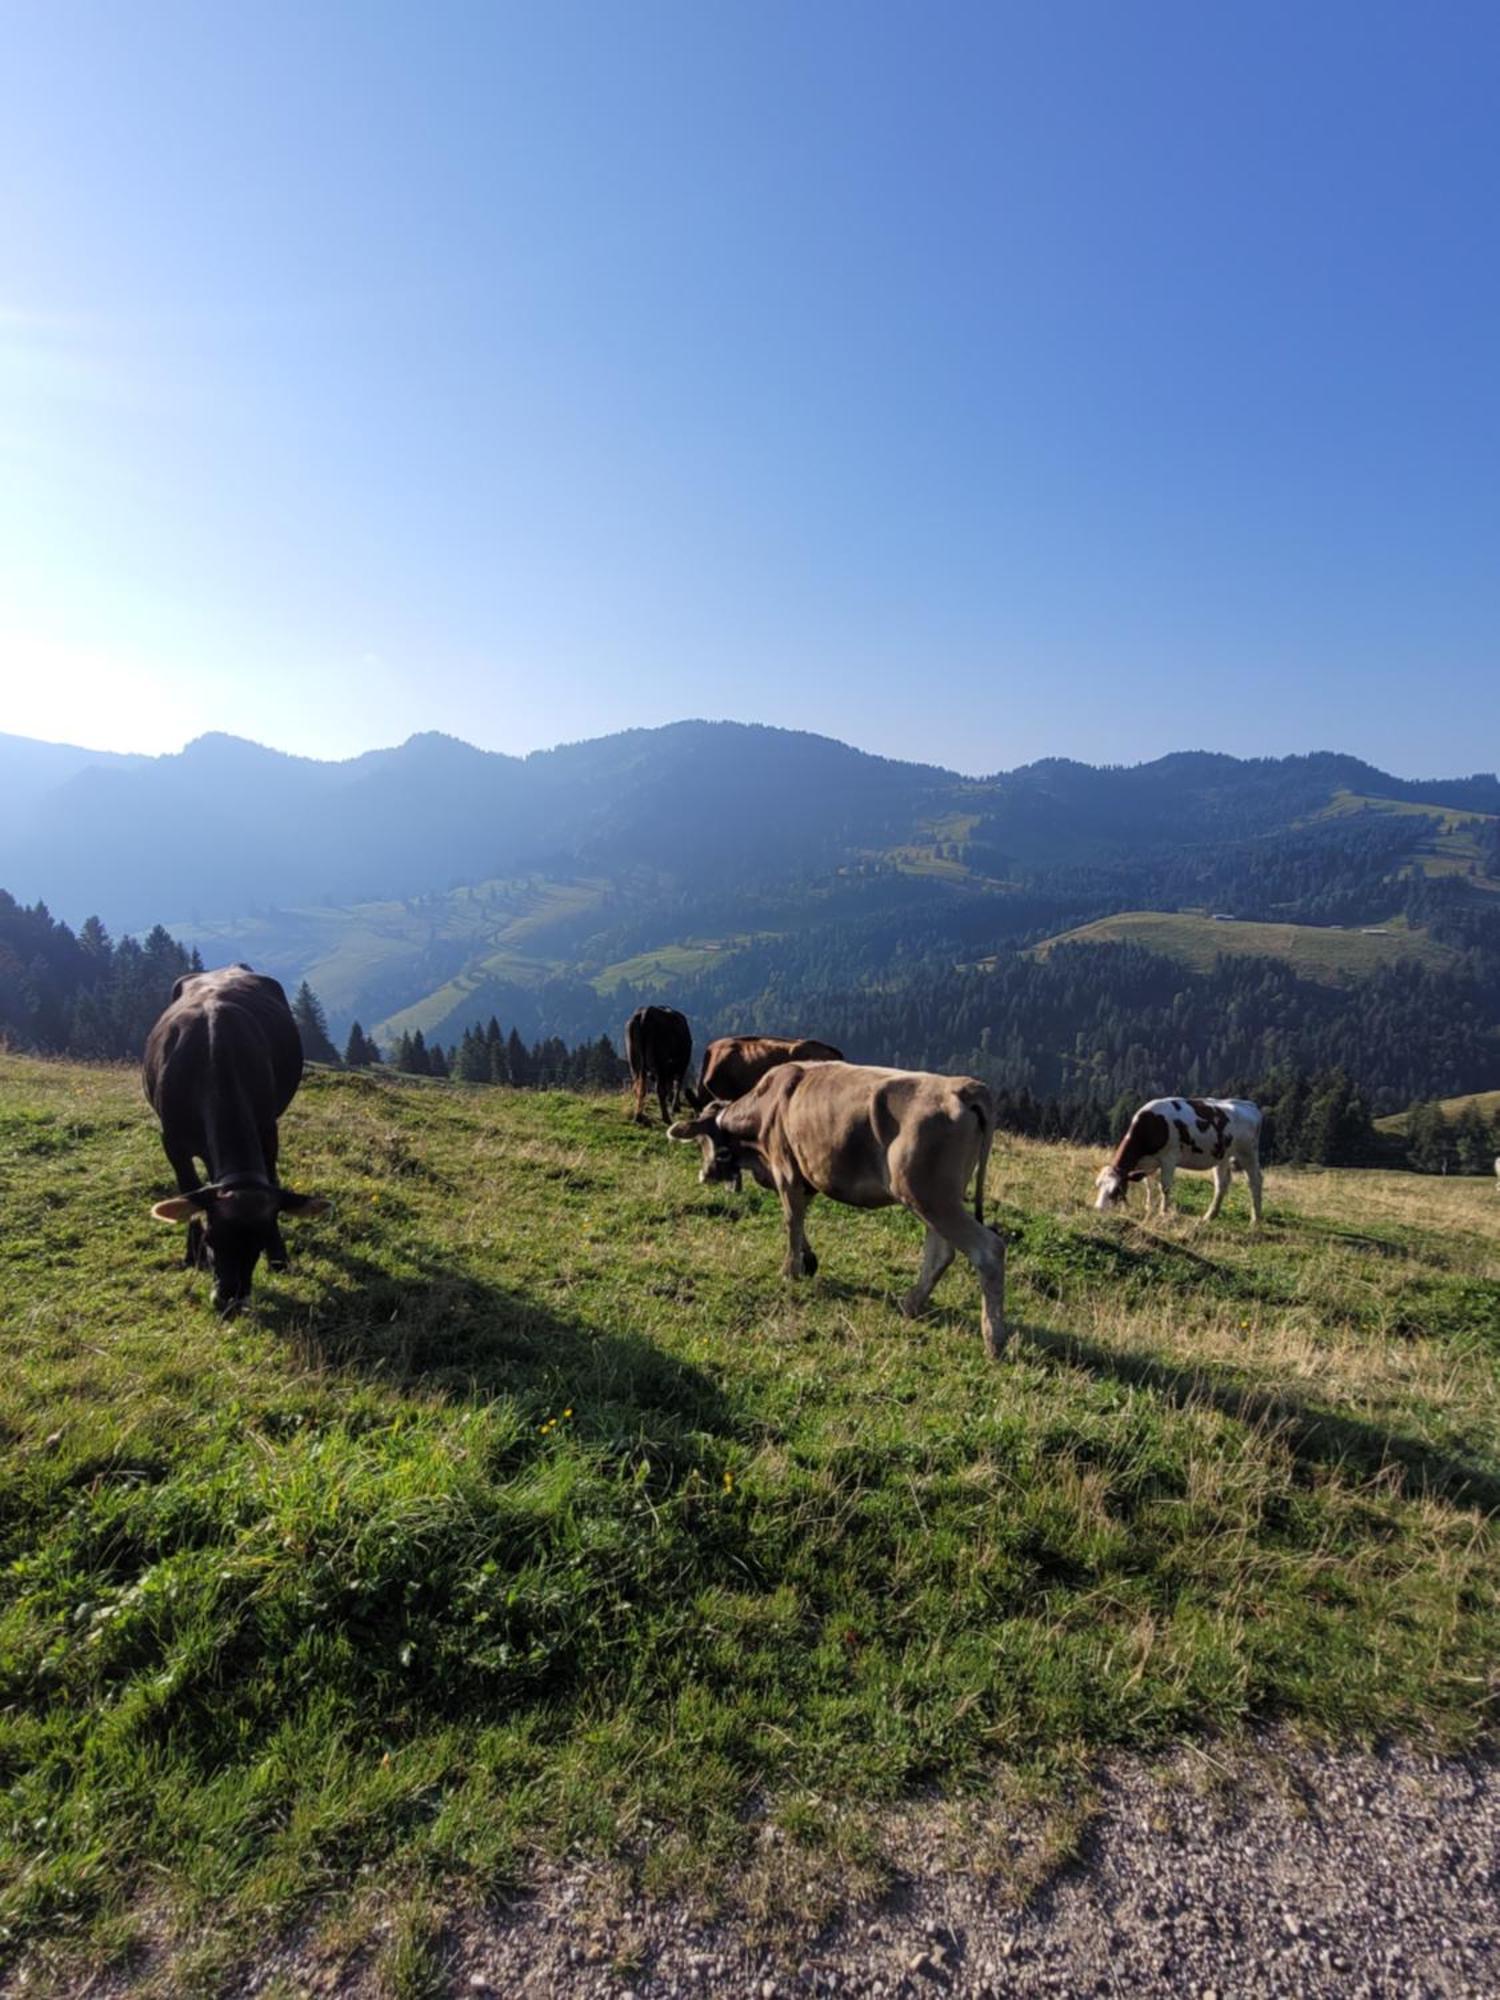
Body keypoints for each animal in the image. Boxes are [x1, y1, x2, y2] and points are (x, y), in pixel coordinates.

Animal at [144, 964, 326, 1312]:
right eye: (212, 1238)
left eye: (260, 1242)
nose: (229, 1300)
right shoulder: (171, 1140)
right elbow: (189, 1192)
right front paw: (193, 1256)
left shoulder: (267, 1128)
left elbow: (271, 1177)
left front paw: (279, 1258)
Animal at [624, 1000, 696, 1128]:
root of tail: (644, 1013)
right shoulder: (682, 1065)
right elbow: (677, 1084)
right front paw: (675, 1106)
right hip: (660, 1064)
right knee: (660, 1089)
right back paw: (666, 1118)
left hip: (634, 1063)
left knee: (640, 1088)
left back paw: (638, 1117)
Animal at [672, 1064, 1012, 1360]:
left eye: (700, 1140)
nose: (704, 1175)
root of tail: (964, 1087)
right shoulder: (807, 1175)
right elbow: (801, 1219)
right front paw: (808, 1260)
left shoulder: (786, 1170)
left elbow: (791, 1220)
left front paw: (790, 1270)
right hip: (935, 1198)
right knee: (941, 1252)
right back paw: (910, 1304)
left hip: (930, 1196)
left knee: (988, 1249)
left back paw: (994, 1340)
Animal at [1096, 1096, 1272, 1216]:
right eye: (1098, 1185)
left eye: (1115, 1190)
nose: (1098, 1209)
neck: (1153, 1125)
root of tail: (1249, 1105)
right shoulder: (1146, 1163)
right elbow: (1148, 1184)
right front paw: (1148, 1207)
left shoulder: (1169, 1158)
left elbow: (1164, 1186)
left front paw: (1163, 1212)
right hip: (1223, 1156)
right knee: (1222, 1183)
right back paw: (1209, 1216)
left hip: (1248, 1153)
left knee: (1255, 1181)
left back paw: (1255, 1219)